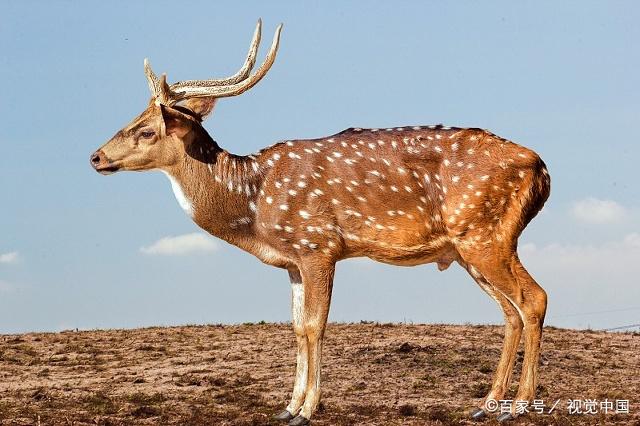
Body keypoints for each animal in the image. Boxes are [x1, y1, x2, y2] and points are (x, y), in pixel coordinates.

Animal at [90, 19, 552, 422]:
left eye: (147, 130)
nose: (95, 156)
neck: (254, 207)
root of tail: (541, 168)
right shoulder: (292, 263)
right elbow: (296, 328)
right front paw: (287, 406)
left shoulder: (318, 246)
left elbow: (315, 326)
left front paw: (308, 409)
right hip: (467, 249)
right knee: (511, 311)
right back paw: (486, 404)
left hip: (486, 235)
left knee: (534, 298)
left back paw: (518, 405)